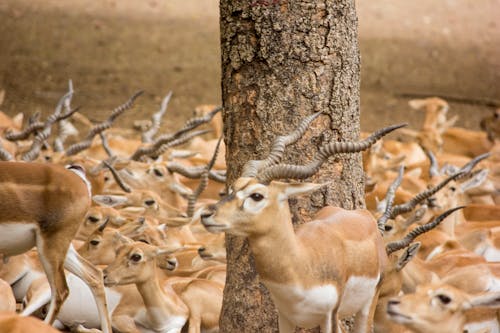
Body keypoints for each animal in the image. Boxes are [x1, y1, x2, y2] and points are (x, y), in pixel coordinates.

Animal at [200, 111, 406, 330]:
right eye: (233, 188)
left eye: (256, 195)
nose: (206, 214)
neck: (301, 264)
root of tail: (363, 216)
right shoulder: (286, 316)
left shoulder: (329, 317)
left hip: (367, 305)